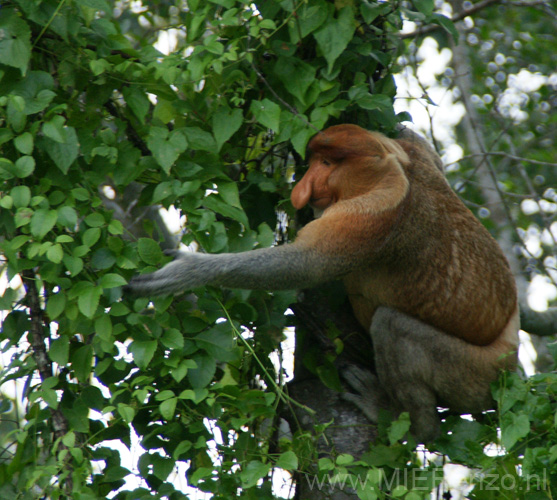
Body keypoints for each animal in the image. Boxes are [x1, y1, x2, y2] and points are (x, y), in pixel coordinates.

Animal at [126, 124, 516, 442]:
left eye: (327, 163)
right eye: (315, 160)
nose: (302, 189)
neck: (393, 171)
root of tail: (510, 360)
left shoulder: (369, 216)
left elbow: (304, 263)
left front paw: (187, 272)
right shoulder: (416, 158)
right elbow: (422, 146)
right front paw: (400, 124)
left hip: (473, 374)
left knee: (391, 326)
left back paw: (401, 419)